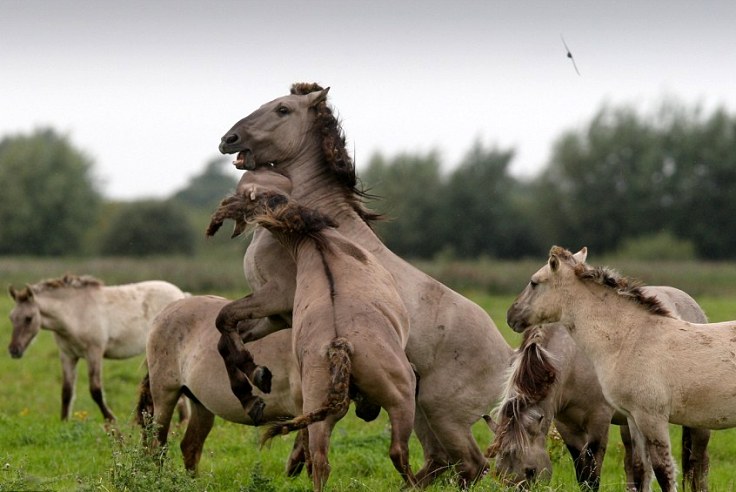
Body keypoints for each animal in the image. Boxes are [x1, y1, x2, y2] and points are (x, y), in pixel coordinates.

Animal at [7, 274, 187, 420]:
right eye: (11, 317)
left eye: (28, 318)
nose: (14, 350)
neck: (75, 312)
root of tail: (182, 295)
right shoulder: (67, 355)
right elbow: (66, 391)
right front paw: (64, 421)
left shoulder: (93, 353)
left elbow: (95, 390)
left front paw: (110, 419)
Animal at [506, 246, 736, 492]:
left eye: (534, 282)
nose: (511, 315)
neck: (630, 338)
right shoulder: (633, 419)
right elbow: (639, 469)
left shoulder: (651, 418)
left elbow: (663, 472)